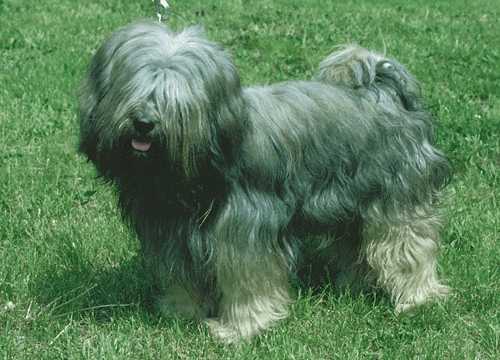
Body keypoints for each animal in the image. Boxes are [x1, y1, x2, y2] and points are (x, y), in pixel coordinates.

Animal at [78, 20, 454, 344]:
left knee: (407, 246)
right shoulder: (172, 235)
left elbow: (248, 281)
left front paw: (238, 330)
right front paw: (180, 313)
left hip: (397, 198)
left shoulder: (245, 232)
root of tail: (385, 93)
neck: (187, 178)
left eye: (176, 102)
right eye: (131, 91)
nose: (143, 123)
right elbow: (184, 277)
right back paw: (353, 287)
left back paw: (416, 299)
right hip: (348, 207)